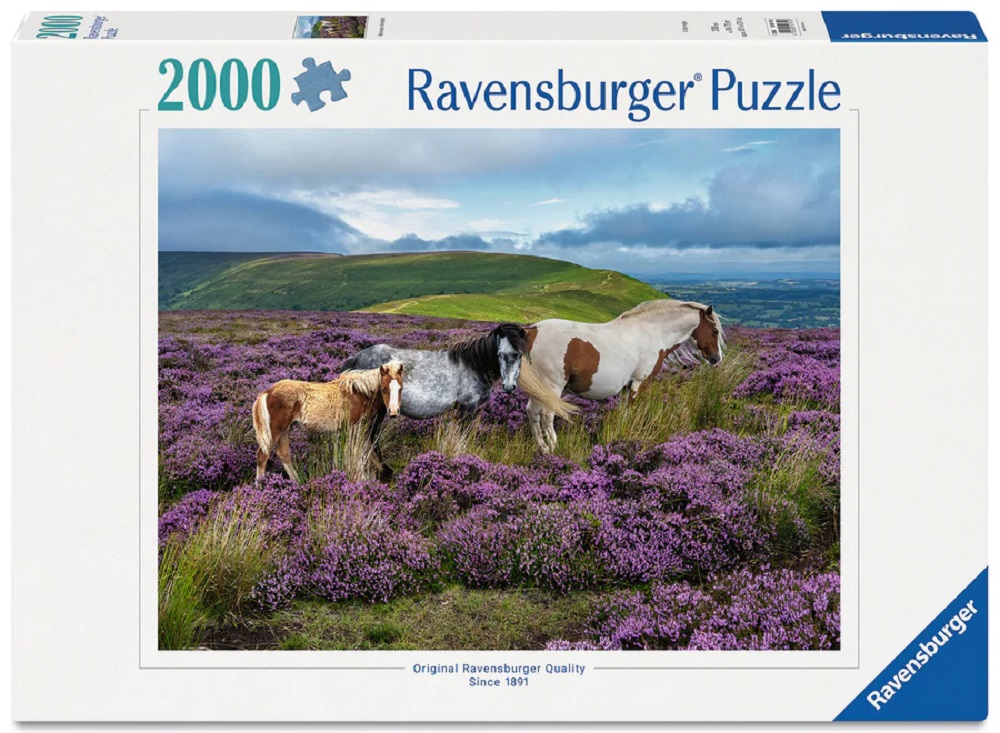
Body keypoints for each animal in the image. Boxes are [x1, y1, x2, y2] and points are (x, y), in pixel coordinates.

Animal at [251, 361, 404, 482]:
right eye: (384, 389)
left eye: (400, 388)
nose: (393, 411)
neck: (359, 393)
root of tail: (268, 392)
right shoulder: (354, 428)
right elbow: (356, 453)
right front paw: (360, 478)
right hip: (275, 431)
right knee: (262, 455)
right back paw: (260, 486)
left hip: (285, 430)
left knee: (284, 455)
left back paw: (296, 482)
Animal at [515, 300, 725, 453]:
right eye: (714, 331)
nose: (717, 358)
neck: (652, 332)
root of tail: (533, 330)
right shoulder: (639, 383)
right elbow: (632, 411)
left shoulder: (626, 386)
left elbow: (624, 413)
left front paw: (621, 434)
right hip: (552, 386)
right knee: (546, 415)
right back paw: (553, 447)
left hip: (540, 389)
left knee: (532, 412)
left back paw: (542, 448)